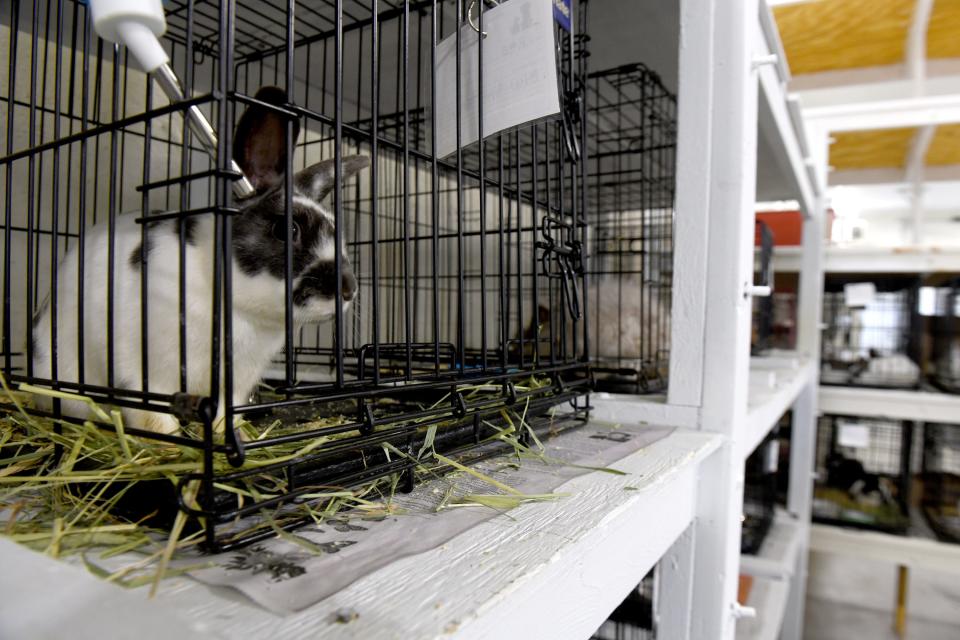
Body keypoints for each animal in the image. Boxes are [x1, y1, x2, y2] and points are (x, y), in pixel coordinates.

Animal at [31, 86, 372, 436]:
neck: (235, 307)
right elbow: (153, 417)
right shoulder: (141, 370)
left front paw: (230, 434)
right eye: (287, 229)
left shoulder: (233, 384)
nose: (349, 289)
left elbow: (225, 414)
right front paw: (169, 441)